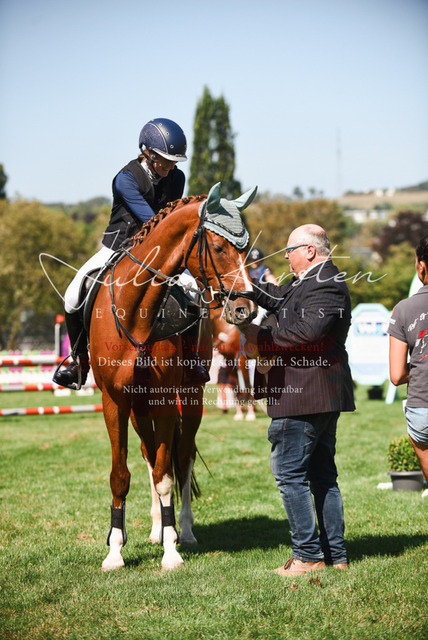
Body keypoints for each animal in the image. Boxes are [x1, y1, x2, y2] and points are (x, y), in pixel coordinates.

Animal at [89, 182, 258, 571]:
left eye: (245, 248)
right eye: (219, 247)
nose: (246, 308)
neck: (136, 312)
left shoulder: (166, 401)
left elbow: (167, 475)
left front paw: (171, 550)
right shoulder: (115, 401)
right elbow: (121, 476)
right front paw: (115, 550)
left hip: (190, 399)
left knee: (181, 458)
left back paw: (184, 531)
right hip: (139, 411)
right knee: (150, 456)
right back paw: (155, 528)